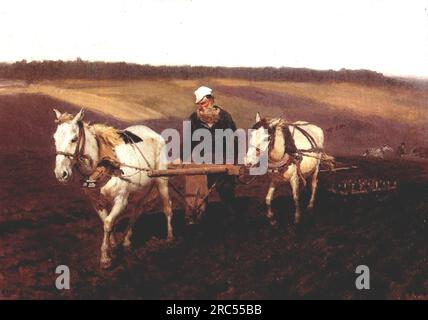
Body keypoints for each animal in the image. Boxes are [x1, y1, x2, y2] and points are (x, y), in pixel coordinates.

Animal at [52, 109, 173, 268]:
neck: (105, 163)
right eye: (55, 139)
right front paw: (114, 245)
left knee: (167, 207)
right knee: (137, 212)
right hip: (140, 191)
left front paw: (105, 258)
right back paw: (127, 240)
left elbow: (109, 223)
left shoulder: (121, 200)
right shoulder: (97, 202)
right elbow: (107, 222)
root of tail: (153, 133)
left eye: (74, 139)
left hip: (161, 180)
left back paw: (170, 237)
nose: (61, 174)